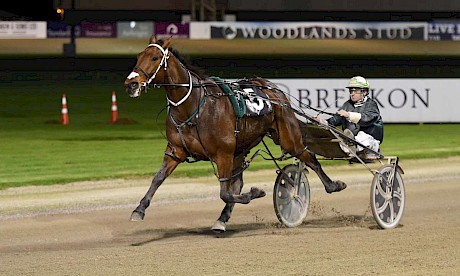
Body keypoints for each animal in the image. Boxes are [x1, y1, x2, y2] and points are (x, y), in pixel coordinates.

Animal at [124, 36, 346, 231]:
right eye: (138, 56)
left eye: (154, 57)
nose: (131, 84)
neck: (194, 107)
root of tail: (274, 89)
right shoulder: (175, 151)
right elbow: (158, 179)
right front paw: (139, 209)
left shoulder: (223, 153)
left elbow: (225, 192)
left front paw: (255, 193)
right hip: (241, 148)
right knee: (239, 183)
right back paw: (221, 220)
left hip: (288, 137)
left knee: (309, 157)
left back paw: (332, 185)